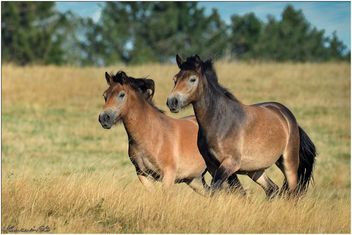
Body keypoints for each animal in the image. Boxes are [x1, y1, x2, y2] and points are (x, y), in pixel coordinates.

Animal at [166, 55, 318, 198]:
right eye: (175, 79)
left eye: (192, 79)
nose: (172, 102)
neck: (219, 122)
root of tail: (288, 117)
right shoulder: (213, 166)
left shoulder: (229, 164)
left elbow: (219, 189)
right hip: (256, 170)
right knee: (272, 189)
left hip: (289, 163)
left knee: (292, 192)